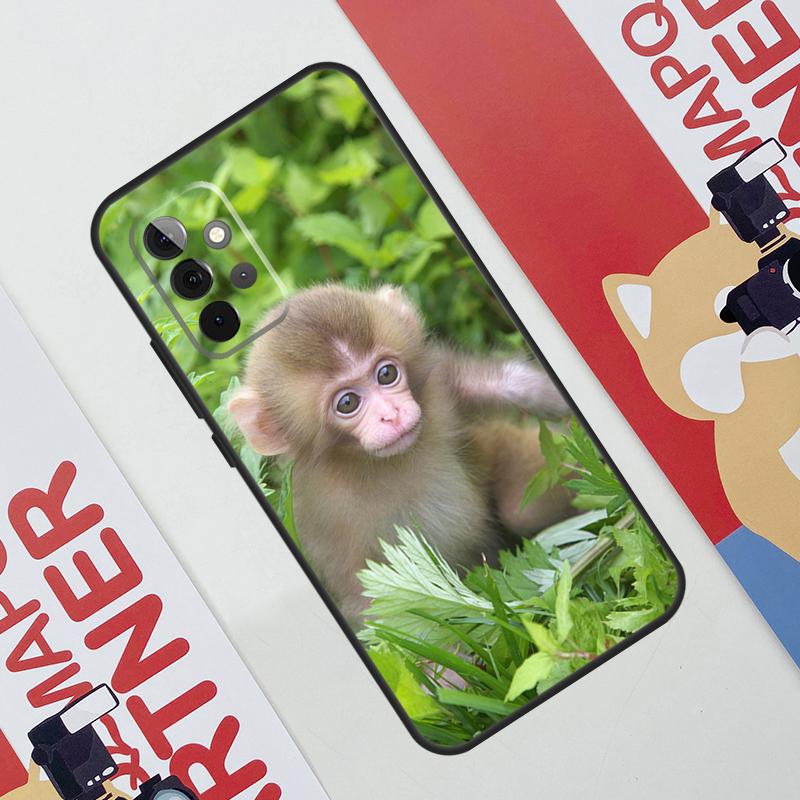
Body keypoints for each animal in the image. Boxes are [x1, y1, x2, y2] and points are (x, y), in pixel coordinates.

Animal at [228, 284, 574, 623]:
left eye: (386, 374)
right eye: (347, 403)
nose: (391, 415)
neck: (372, 461)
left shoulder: (438, 386)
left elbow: (493, 384)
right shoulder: (326, 524)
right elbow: (377, 604)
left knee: (519, 511)